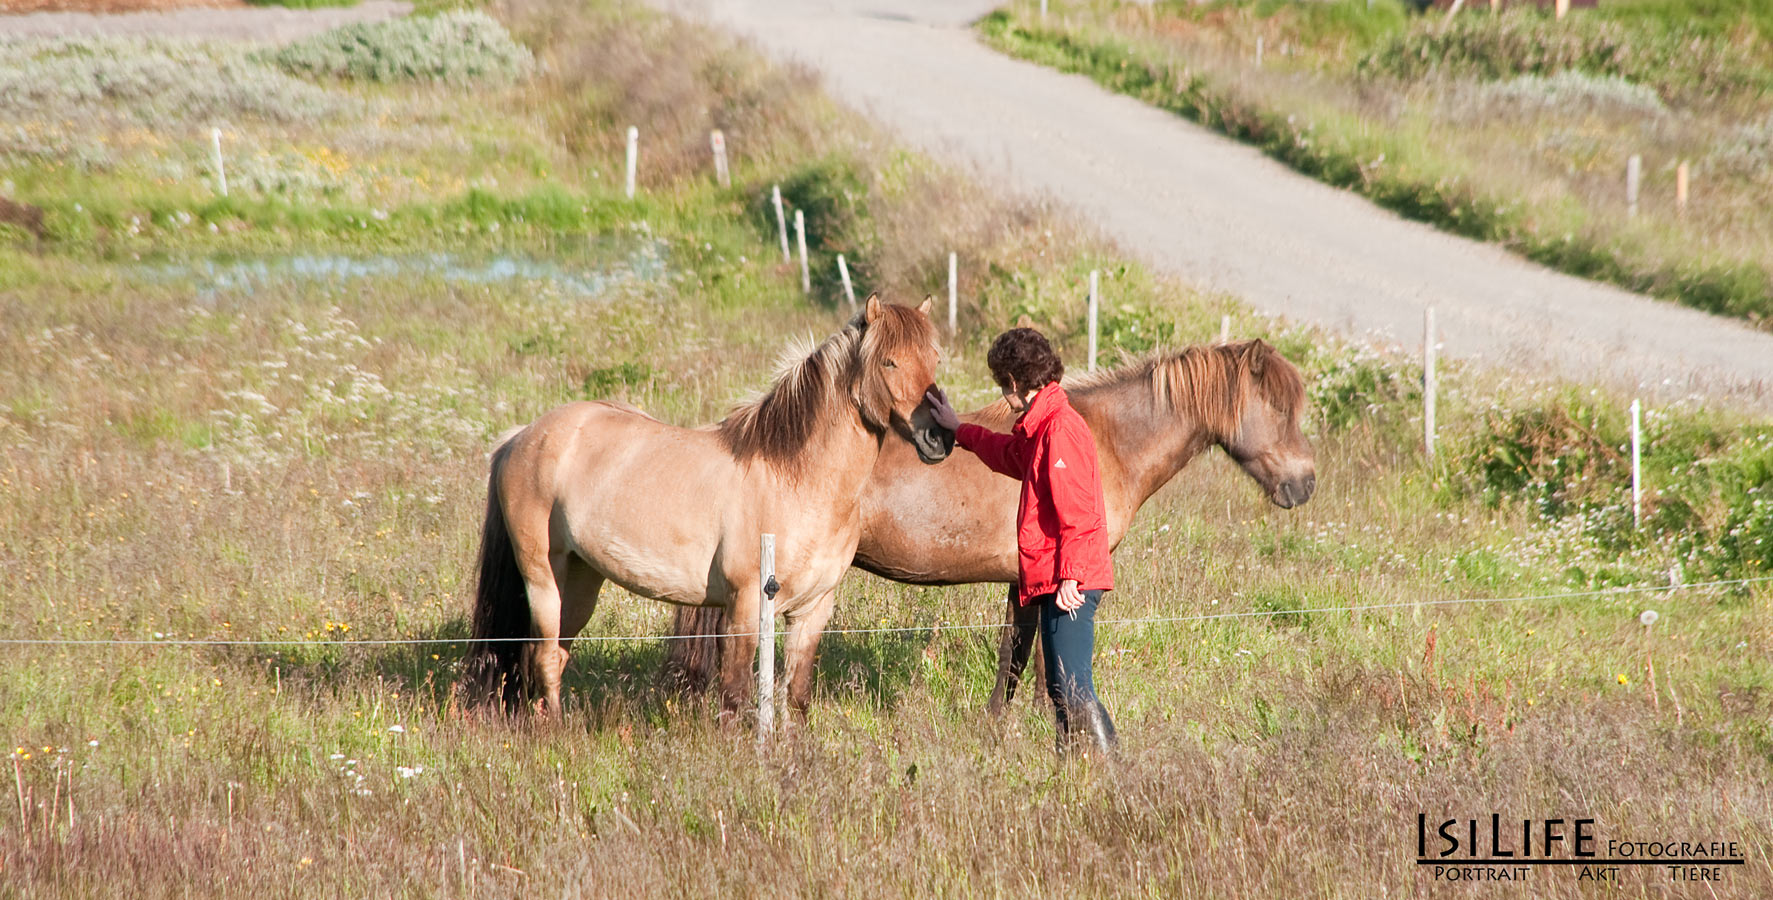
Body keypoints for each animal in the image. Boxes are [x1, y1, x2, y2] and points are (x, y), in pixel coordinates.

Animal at [464, 295, 950, 715]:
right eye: (889, 361)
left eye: (935, 360)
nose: (938, 437)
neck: (794, 480)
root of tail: (521, 436)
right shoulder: (743, 605)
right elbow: (735, 692)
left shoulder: (812, 611)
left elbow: (795, 696)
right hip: (543, 576)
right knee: (543, 656)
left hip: (581, 579)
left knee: (551, 655)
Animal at [666, 336, 1319, 708]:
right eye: (1278, 408)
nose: (1306, 483)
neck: (1102, 439)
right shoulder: (1048, 586)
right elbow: (1042, 665)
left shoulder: (1022, 583)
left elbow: (1015, 660)